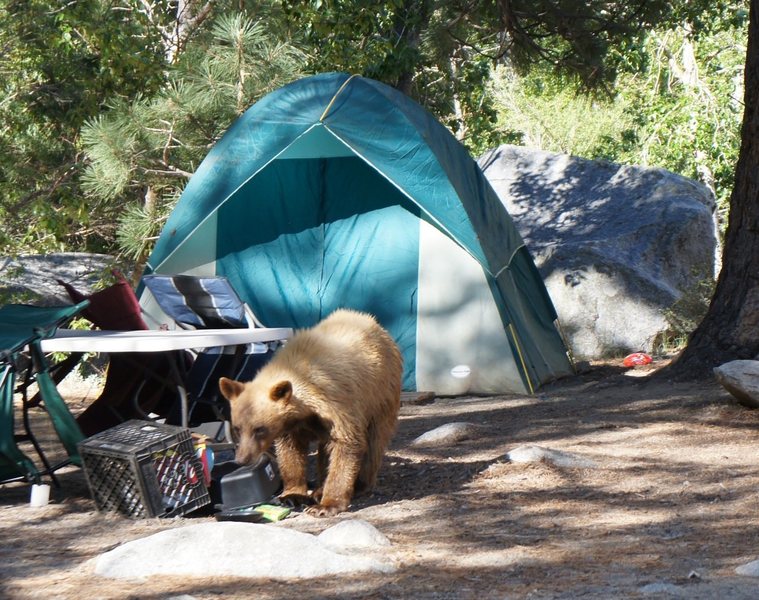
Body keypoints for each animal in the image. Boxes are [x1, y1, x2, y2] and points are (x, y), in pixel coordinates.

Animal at [220, 310, 404, 516]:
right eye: (237, 428)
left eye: (259, 429)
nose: (242, 459)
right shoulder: (292, 426)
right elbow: (290, 452)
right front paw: (292, 495)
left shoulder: (338, 403)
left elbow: (347, 444)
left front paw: (326, 505)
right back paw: (318, 488)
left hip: (382, 393)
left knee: (375, 440)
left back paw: (357, 485)